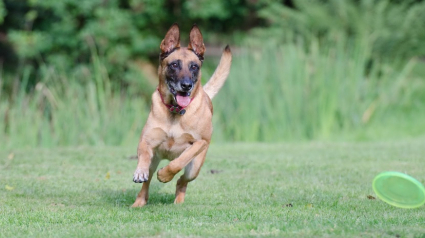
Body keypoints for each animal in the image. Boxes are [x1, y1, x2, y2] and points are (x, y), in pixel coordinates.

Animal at [132, 23, 232, 207]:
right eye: (174, 65)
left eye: (194, 66)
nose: (186, 85)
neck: (175, 111)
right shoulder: (147, 140)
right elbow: (143, 155)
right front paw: (140, 171)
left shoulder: (200, 143)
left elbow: (179, 161)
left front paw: (164, 175)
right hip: (155, 161)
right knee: (147, 182)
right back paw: (139, 202)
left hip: (195, 168)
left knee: (181, 181)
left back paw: (178, 201)